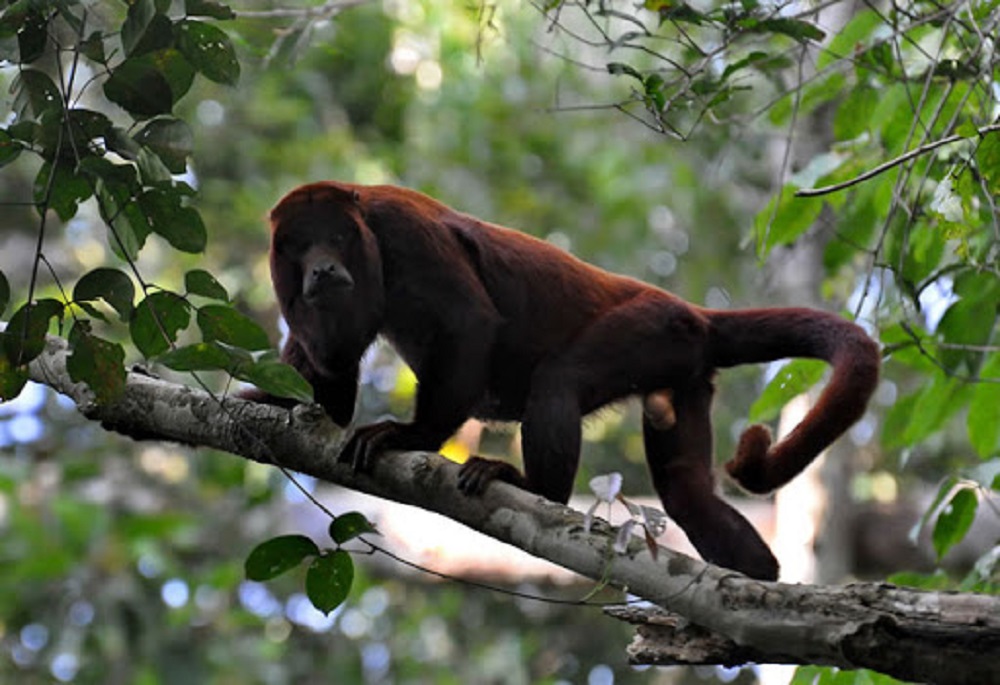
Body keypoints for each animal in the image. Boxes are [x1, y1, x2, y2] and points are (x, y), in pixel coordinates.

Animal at [246, 179, 880, 580]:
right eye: (298, 246)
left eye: (336, 237)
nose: (323, 269)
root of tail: (694, 314)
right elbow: (329, 376)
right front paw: (267, 396)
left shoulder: (402, 231)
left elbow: (467, 321)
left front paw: (411, 436)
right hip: (682, 376)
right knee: (685, 490)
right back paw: (750, 583)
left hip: (653, 327)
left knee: (558, 377)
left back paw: (533, 487)